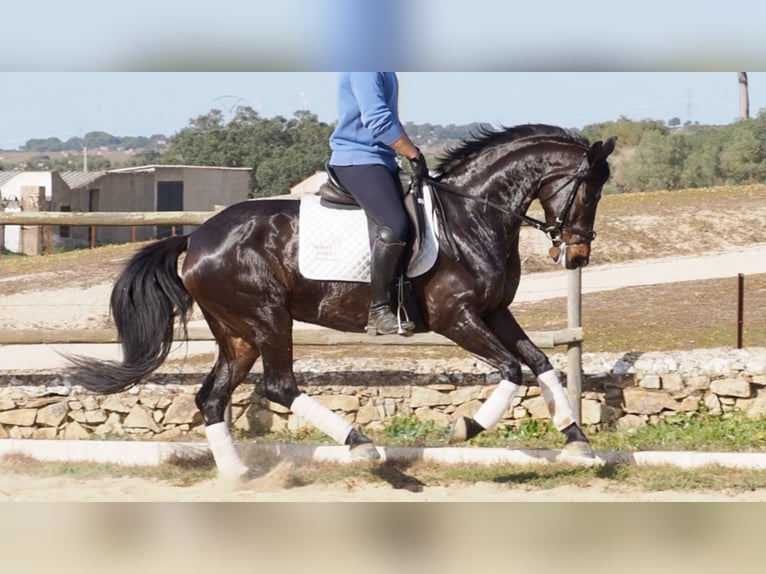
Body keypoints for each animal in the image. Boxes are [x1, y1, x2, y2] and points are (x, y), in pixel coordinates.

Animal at [66, 125, 616, 482]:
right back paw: (360, 445)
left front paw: (577, 442)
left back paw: (239, 473)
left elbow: (540, 362)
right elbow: (511, 369)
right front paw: (466, 426)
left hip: (238, 332)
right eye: (589, 191)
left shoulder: (494, 312)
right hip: (267, 317)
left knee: (213, 398)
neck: (472, 215)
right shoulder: (456, 317)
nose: (578, 255)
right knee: (279, 386)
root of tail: (197, 237)